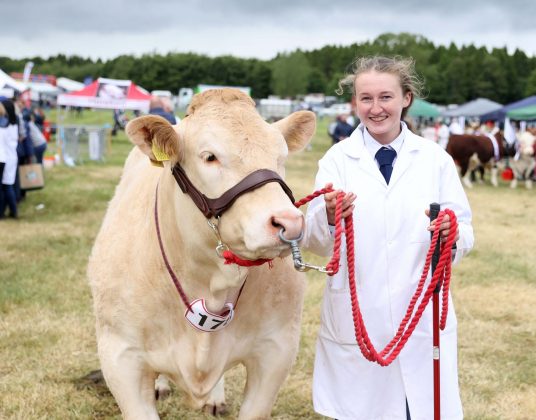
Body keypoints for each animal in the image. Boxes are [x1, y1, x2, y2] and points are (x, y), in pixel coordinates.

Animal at [86, 87, 316, 418]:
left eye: (281, 156)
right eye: (210, 156)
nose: (289, 222)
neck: (211, 283)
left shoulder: (277, 350)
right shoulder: (120, 356)